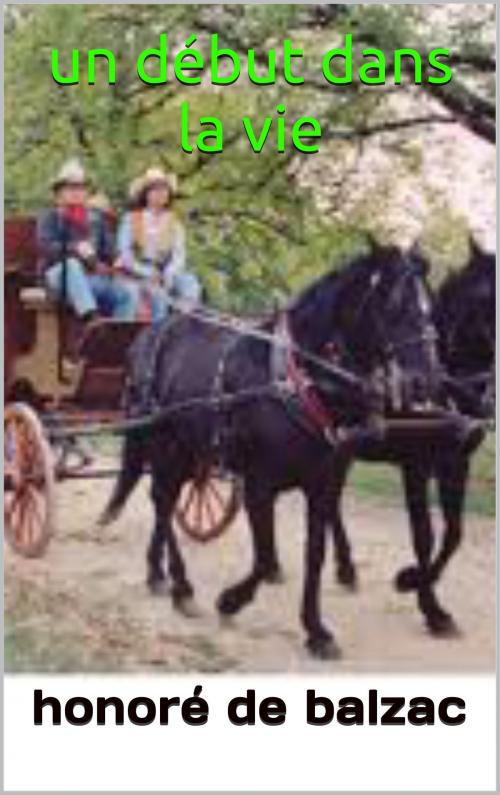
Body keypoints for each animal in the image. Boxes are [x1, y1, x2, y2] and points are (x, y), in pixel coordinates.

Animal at [101, 247, 450, 660]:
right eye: (395, 304)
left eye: (432, 306)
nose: (428, 382)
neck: (296, 380)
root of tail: (148, 333)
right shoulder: (258, 485)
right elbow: (265, 556)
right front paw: (230, 601)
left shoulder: (322, 485)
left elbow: (313, 554)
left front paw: (316, 630)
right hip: (165, 445)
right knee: (161, 500)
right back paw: (181, 587)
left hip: (191, 452)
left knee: (165, 503)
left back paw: (158, 574)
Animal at [326, 239, 494, 636]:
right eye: (487, 295)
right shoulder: (416, 466)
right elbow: (424, 535)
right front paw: (427, 603)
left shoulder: (456, 463)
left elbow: (454, 533)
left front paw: (415, 582)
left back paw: (345, 568)